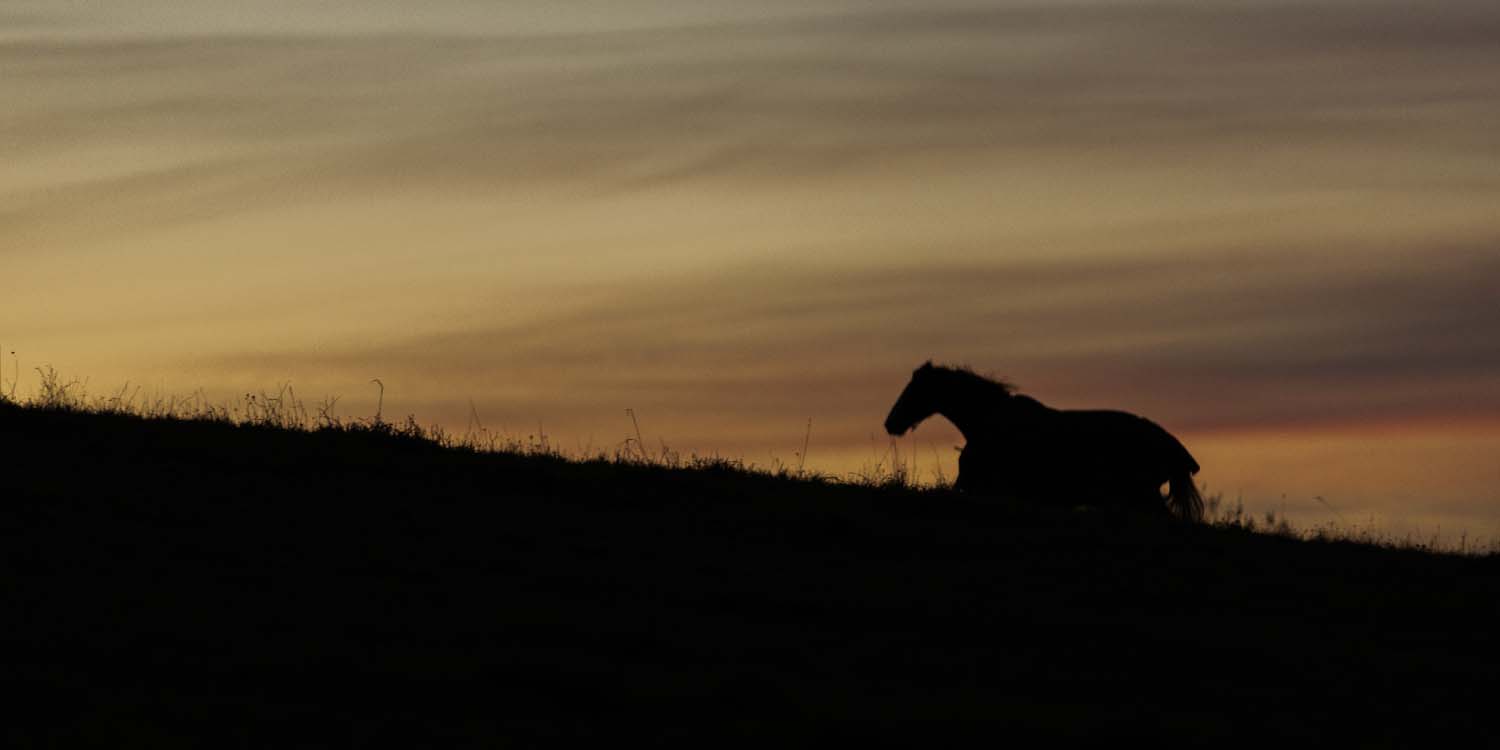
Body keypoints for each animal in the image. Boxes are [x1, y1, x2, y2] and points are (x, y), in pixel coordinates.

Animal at [882, 363, 1200, 522]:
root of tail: (1175, 451)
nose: (891, 422)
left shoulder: (981, 486)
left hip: (1141, 496)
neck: (988, 421)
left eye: (914, 389)